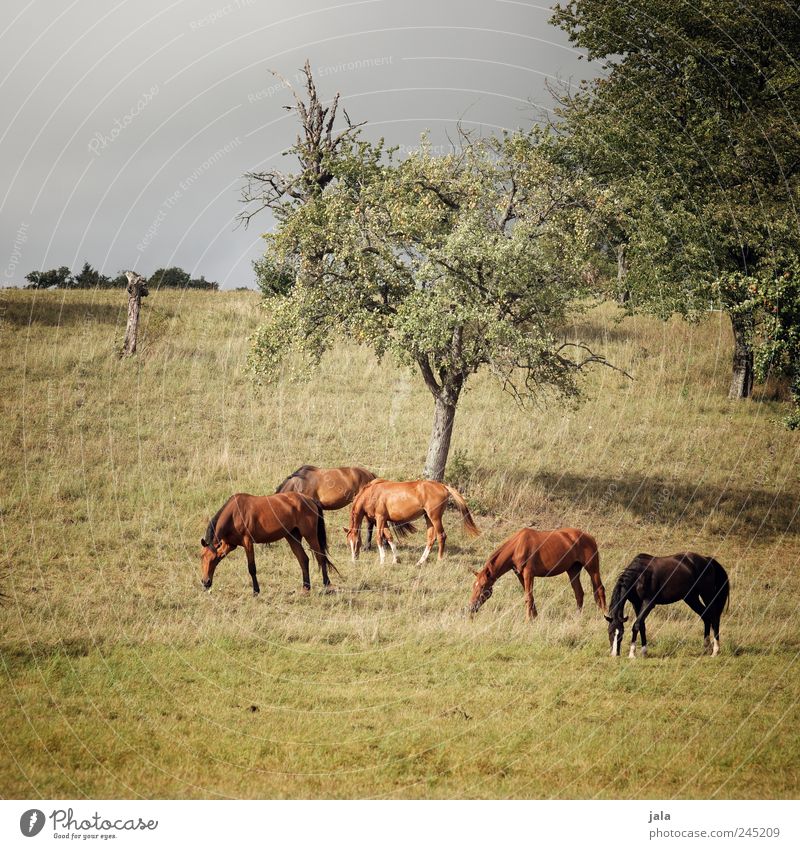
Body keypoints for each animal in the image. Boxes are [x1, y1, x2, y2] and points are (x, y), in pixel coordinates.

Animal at [203, 490, 338, 596]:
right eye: (201, 557)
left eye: (212, 559)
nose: (205, 582)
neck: (234, 513)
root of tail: (309, 499)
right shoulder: (230, 545)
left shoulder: (248, 543)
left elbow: (252, 568)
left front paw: (256, 591)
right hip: (292, 537)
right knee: (303, 559)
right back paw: (306, 588)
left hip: (310, 535)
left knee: (320, 556)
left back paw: (326, 585)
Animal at [346, 480, 482, 568]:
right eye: (349, 543)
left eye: (357, 542)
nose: (353, 560)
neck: (372, 493)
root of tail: (443, 486)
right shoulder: (383, 521)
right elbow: (389, 537)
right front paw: (396, 559)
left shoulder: (380, 518)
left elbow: (379, 538)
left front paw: (382, 561)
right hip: (428, 518)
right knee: (431, 538)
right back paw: (420, 562)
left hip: (435, 518)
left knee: (441, 536)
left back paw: (439, 560)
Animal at [468, 528, 608, 620]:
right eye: (473, 586)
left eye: (482, 586)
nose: (471, 607)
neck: (518, 546)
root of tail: (590, 537)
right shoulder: (520, 575)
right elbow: (530, 596)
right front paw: (534, 617)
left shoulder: (528, 574)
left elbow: (528, 597)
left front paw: (528, 620)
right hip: (573, 570)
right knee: (579, 593)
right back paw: (577, 617)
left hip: (592, 569)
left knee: (600, 589)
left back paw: (605, 614)